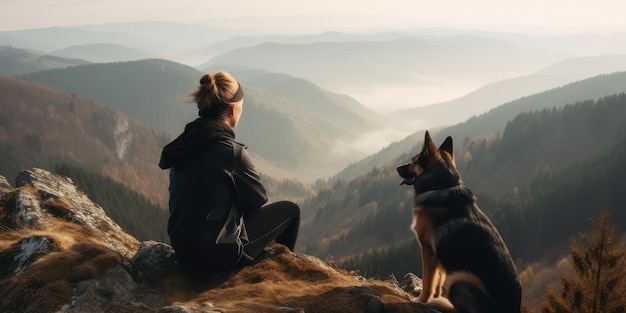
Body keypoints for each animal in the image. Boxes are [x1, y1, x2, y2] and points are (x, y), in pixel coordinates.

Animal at [394, 130, 520, 310]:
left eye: (413, 160)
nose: (396, 168)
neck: (441, 186)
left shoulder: (428, 251)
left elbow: (428, 281)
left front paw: (421, 299)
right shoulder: (439, 256)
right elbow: (437, 281)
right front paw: (435, 296)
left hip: (460, 278)